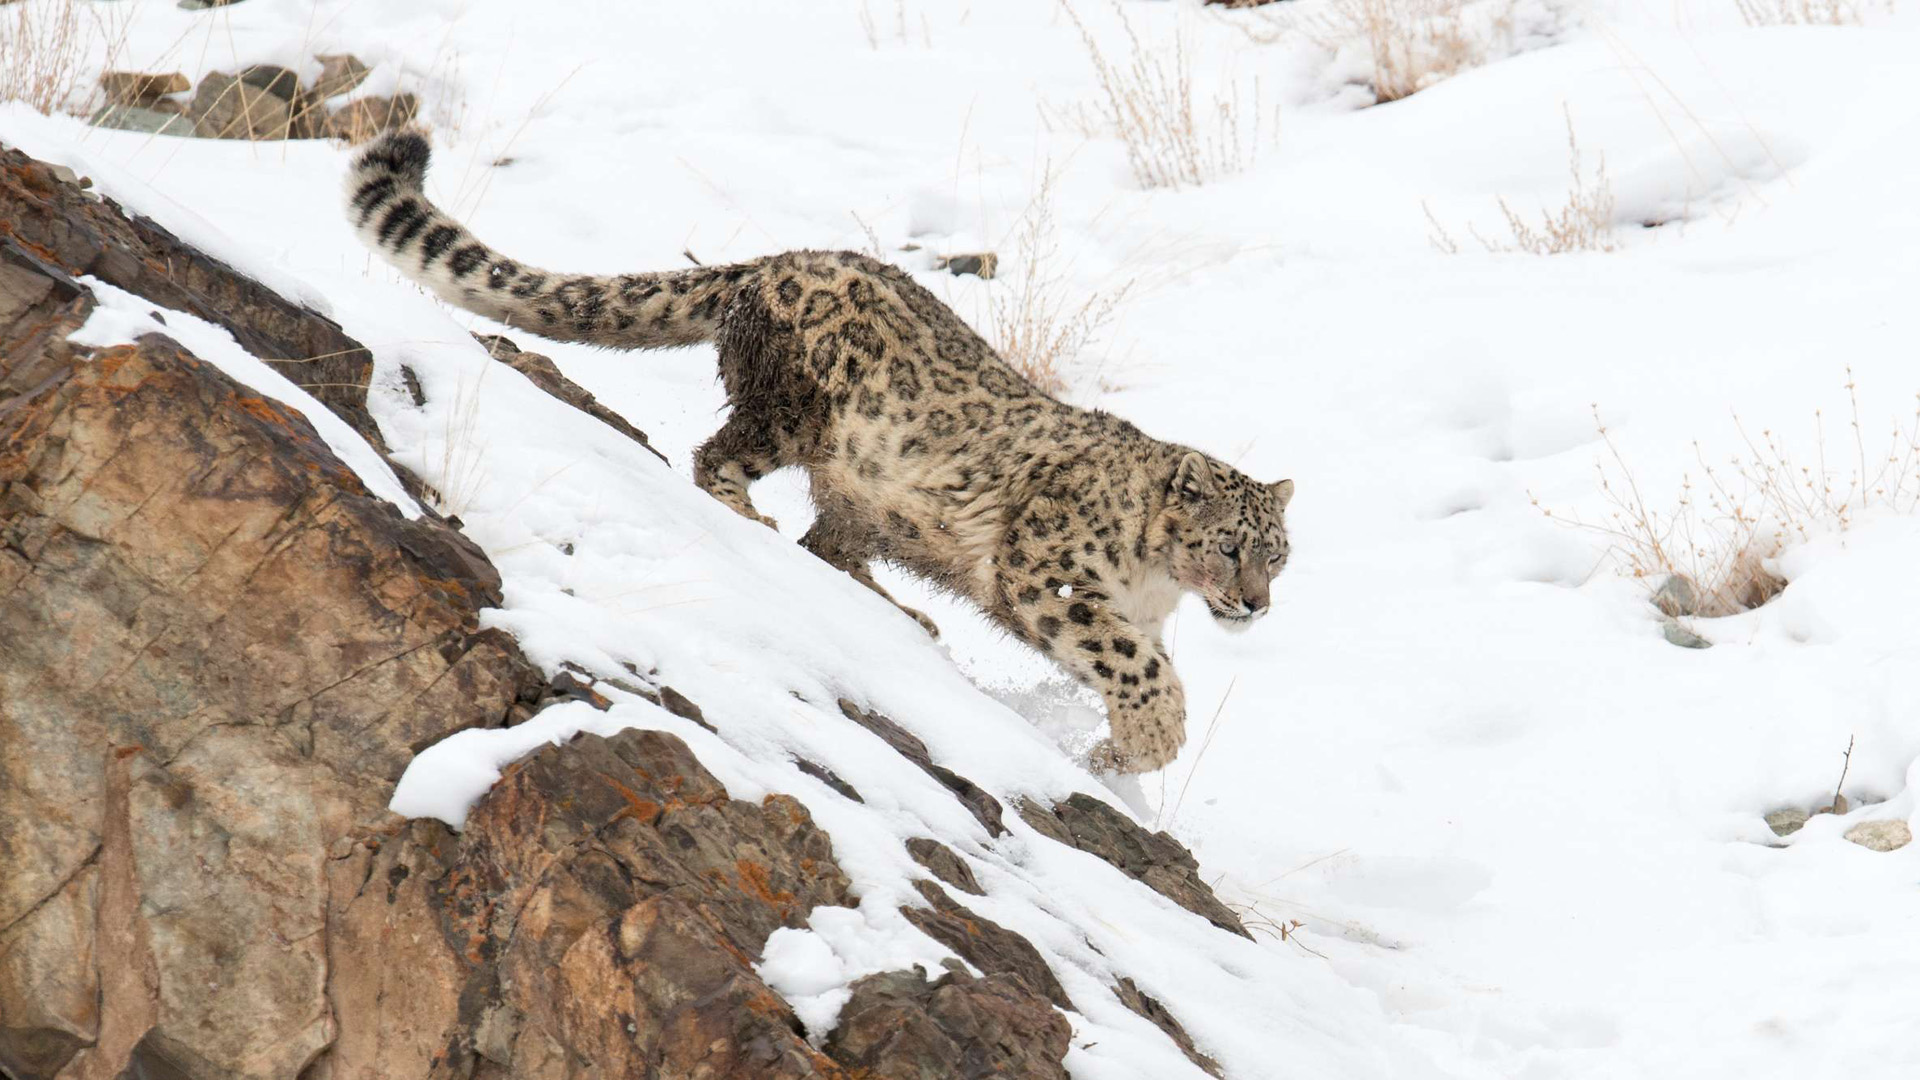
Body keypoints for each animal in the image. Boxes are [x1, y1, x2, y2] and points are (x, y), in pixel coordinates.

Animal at [343, 131, 1293, 773]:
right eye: (1228, 544)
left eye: (1277, 554)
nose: (1256, 605)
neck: (1156, 583)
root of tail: (775, 260)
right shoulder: (1050, 575)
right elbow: (1136, 663)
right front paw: (1149, 740)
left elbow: (1137, 655)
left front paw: (1122, 752)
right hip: (792, 411)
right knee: (719, 460)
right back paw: (754, 520)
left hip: (863, 497)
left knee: (829, 540)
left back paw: (905, 611)